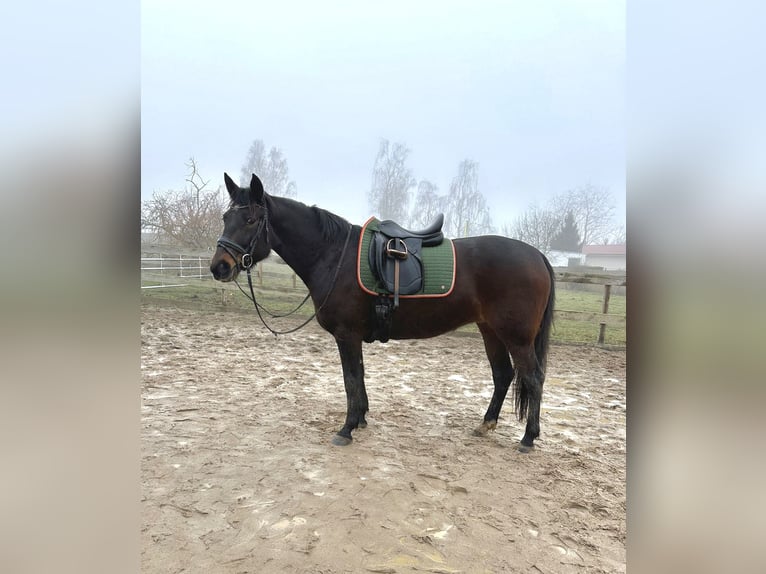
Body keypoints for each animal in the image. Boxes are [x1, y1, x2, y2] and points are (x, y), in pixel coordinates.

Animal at [212, 173, 560, 452]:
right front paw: (362, 419)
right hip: (491, 331)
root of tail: (538, 256)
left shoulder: (347, 335)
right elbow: (360, 375)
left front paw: (347, 428)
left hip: (516, 337)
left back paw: (528, 438)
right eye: (226, 217)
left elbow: (350, 379)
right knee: (503, 375)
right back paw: (486, 424)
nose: (219, 267)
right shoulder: (353, 336)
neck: (333, 255)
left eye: (250, 220)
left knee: (533, 377)